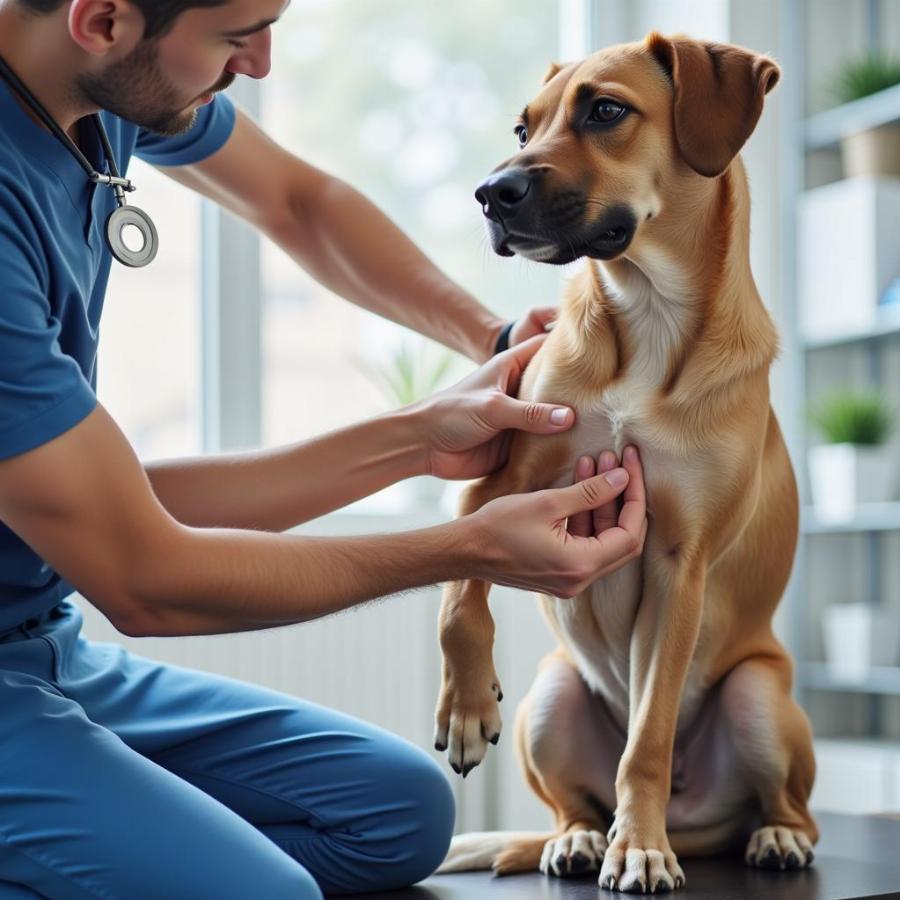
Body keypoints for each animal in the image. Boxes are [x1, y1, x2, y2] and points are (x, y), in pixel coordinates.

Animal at [432, 29, 820, 892]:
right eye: (524, 128)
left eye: (606, 111)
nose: (489, 193)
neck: (647, 311)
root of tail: (698, 825)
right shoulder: (496, 483)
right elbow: (459, 597)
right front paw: (466, 706)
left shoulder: (681, 562)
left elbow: (646, 740)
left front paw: (639, 847)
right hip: (549, 697)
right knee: (570, 806)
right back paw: (578, 839)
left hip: (759, 696)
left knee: (790, 807)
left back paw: (764, 837)